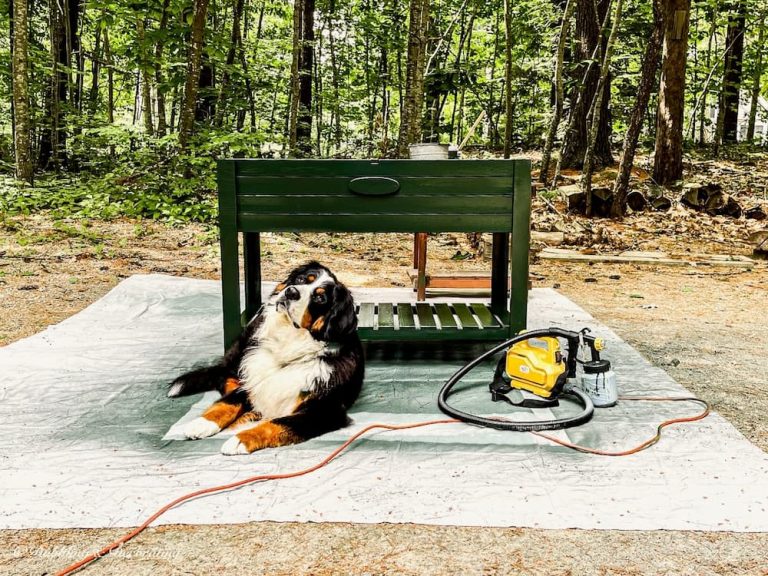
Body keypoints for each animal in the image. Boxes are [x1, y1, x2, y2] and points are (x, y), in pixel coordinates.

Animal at [166, 260, 364, 454]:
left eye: (320, 298)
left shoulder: (326, 411)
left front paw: (240, 440)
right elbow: (229, 402)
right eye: (302, 279)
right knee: (225, 376)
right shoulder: (253, 382)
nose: (291, 292)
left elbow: (278, 423)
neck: (288, 345)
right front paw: (201, 423)